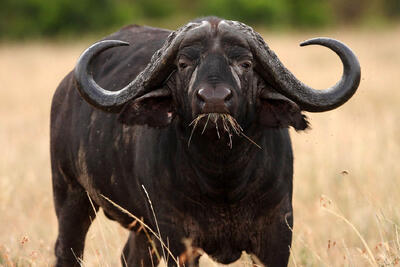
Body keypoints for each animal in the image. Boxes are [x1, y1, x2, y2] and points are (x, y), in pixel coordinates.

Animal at [50, 17, 360, 267]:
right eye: (184, 64)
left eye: (245, 63)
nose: (214, 99)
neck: (223, 177)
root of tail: (64, 91)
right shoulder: (176, 236)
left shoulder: (277, 230)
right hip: (71, 196)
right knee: (67, 250)